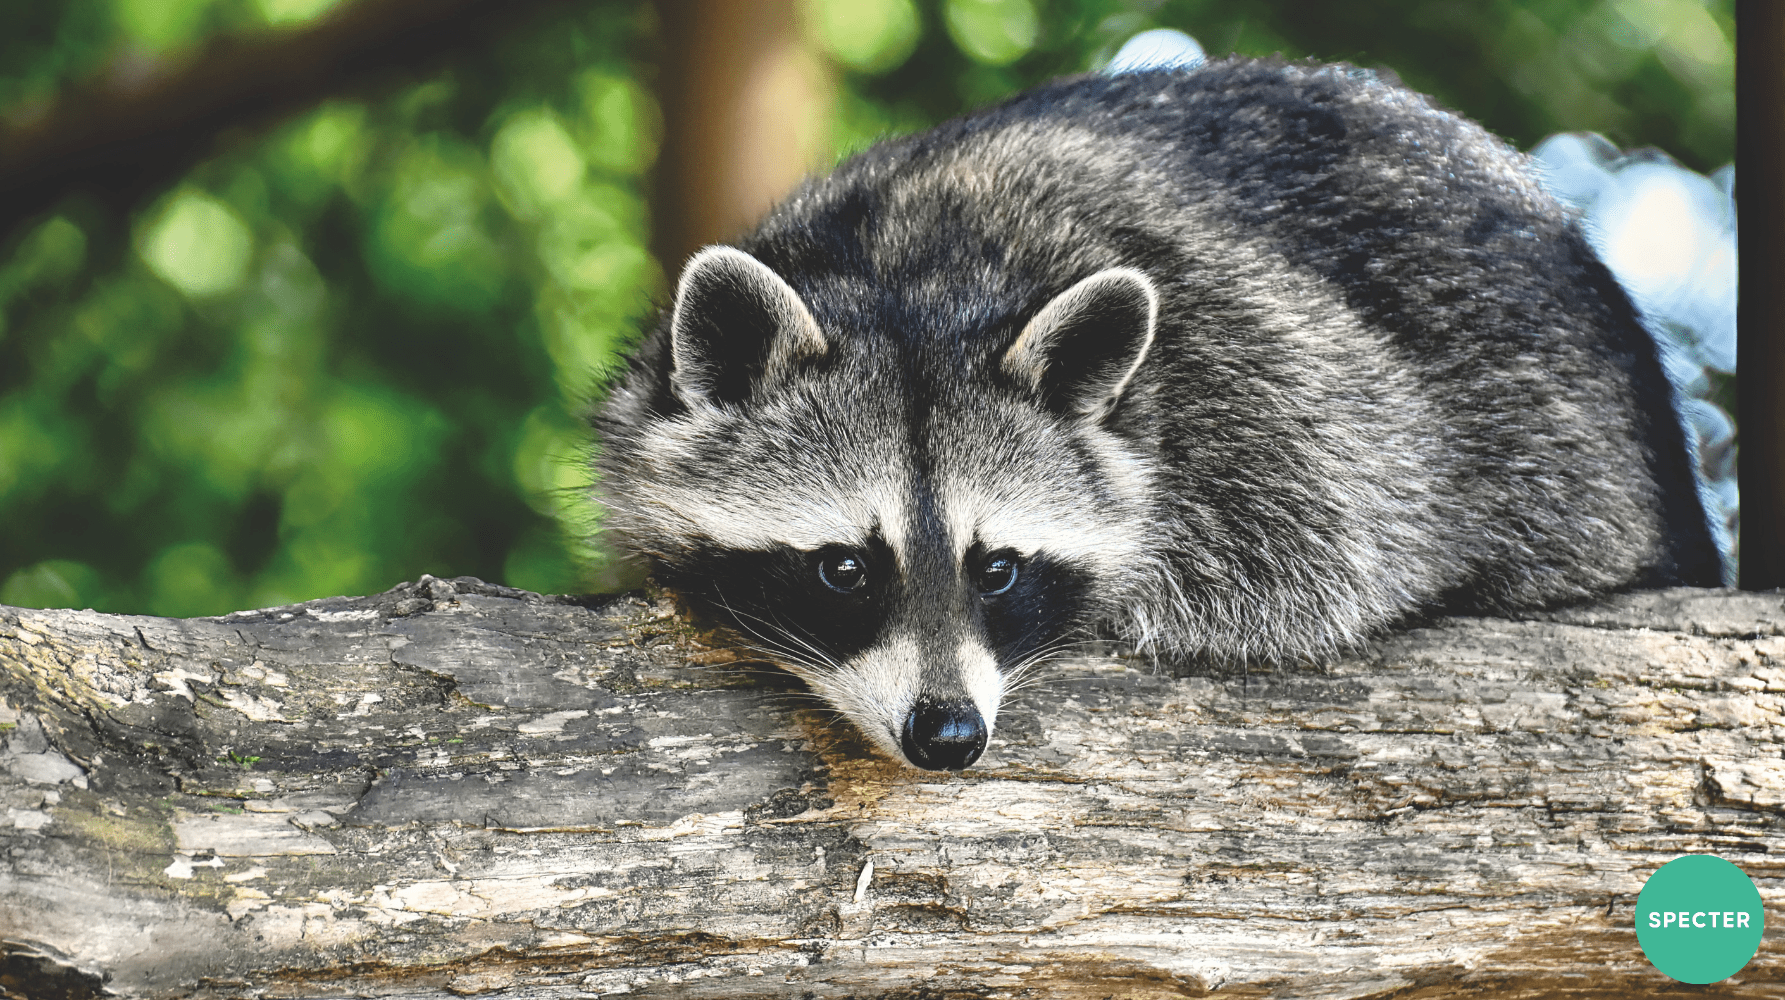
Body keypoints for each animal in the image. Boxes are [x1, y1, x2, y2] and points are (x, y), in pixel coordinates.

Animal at [594, 59, 1721, 771]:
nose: (948, 737)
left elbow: (1321, 563)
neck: (904, 272)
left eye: (996, 569)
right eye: (843, 568)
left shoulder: (1272, 397)